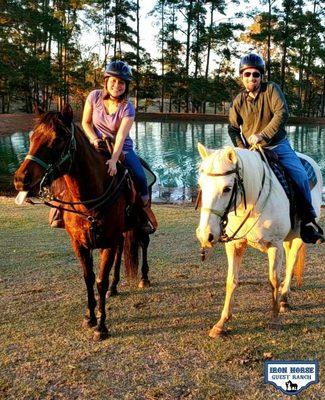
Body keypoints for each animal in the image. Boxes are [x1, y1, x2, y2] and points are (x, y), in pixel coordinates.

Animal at [14, 104, 151, 340]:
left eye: (58, 139)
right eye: (31, 136)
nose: (20, 179)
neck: (89, 201)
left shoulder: (107, 243)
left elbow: (100, 281)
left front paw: (102, 326)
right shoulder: (79, 244)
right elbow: (88, 278)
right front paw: (90, 316)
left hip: (139, 222)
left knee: (143, 243)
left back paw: (143, 277)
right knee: (122, 250)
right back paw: (114, 287)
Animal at [195, 144, 322, 338]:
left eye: (227, 188)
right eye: (201, 185)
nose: (205, 235)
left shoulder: (274, 245)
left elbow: (273, 280)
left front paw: (274, 320)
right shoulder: (234, 245)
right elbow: (231, 280)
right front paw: (221, 323)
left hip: (299, 236)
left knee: (292, 261)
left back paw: (284, 297)